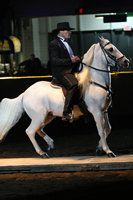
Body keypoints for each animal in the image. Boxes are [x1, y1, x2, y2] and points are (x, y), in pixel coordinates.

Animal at [0, 36, 129, 157]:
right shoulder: (96, 111)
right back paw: (42, 153)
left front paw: (99, 147)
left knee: (39, 129)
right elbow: (102, 131)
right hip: (38, 116)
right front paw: (108, 151)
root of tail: (25, 93)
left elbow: (108, 129)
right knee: (30, 131)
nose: (126, 61)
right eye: (110, 49)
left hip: (48, 115)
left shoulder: (104, 111)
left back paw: (50, 143)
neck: (94, 81)